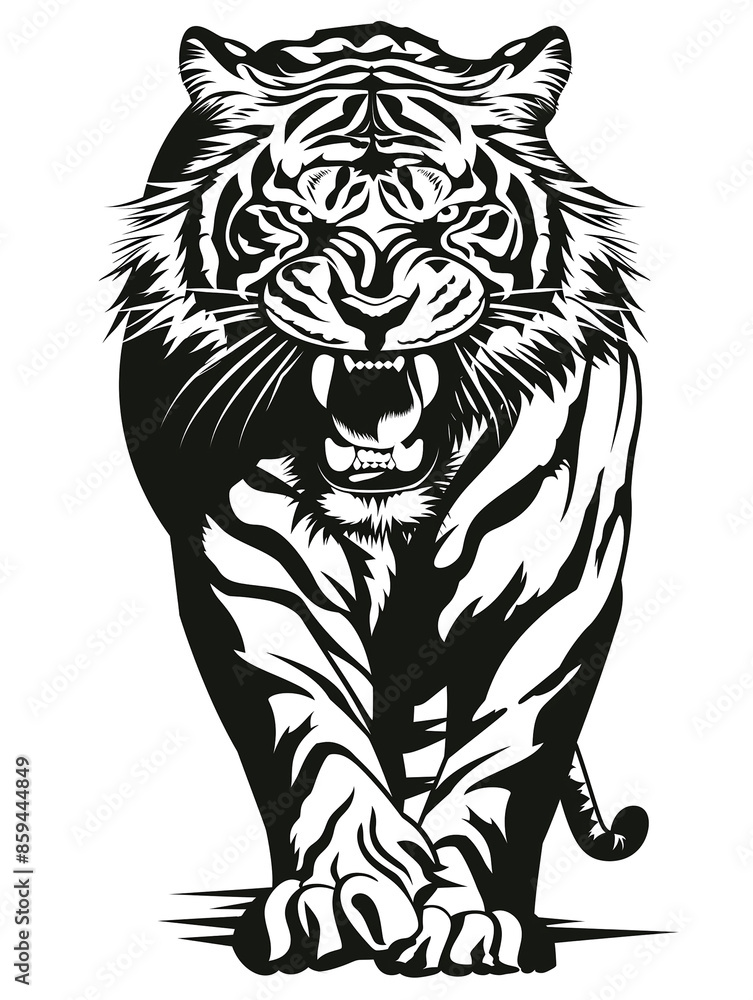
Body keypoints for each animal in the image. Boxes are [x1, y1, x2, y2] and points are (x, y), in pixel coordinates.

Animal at [111, 22, 649, 976]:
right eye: (297, 219)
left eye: (450, 218)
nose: (374, 310)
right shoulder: (259, 576)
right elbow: (315, 741)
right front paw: (344, 893)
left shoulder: (551, 587)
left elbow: (501, 758)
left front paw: (469, 917)